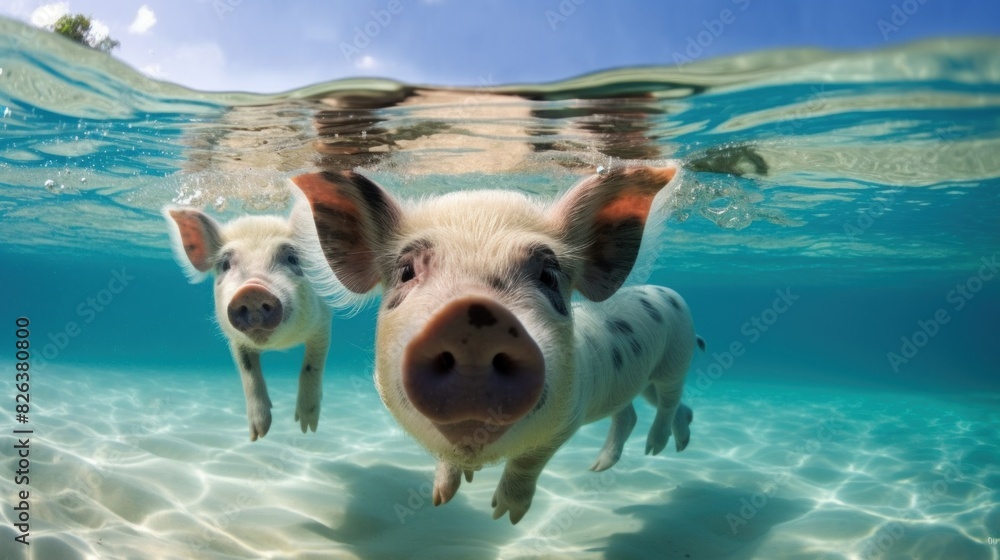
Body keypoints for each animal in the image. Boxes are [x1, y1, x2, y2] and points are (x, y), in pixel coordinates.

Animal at [164, 200, 331, 441]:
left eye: (292, 258)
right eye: (225, 264)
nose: (252, 290)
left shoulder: (322, 323)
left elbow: (312, 366)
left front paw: (307, 427)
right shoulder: (234, 339)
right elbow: (248, 371)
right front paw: (258, 435)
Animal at [292, 165, 700, 523]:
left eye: (548, 276)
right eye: (406, 271)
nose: (471, 317)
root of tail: (667, 293)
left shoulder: (568, 419)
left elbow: (527, 462)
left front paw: (505, 515)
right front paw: (440, 499)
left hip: (676, 359)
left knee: (668, 400)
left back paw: (656, 448)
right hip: (640, 380)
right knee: (634, 412)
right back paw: (611, 464)